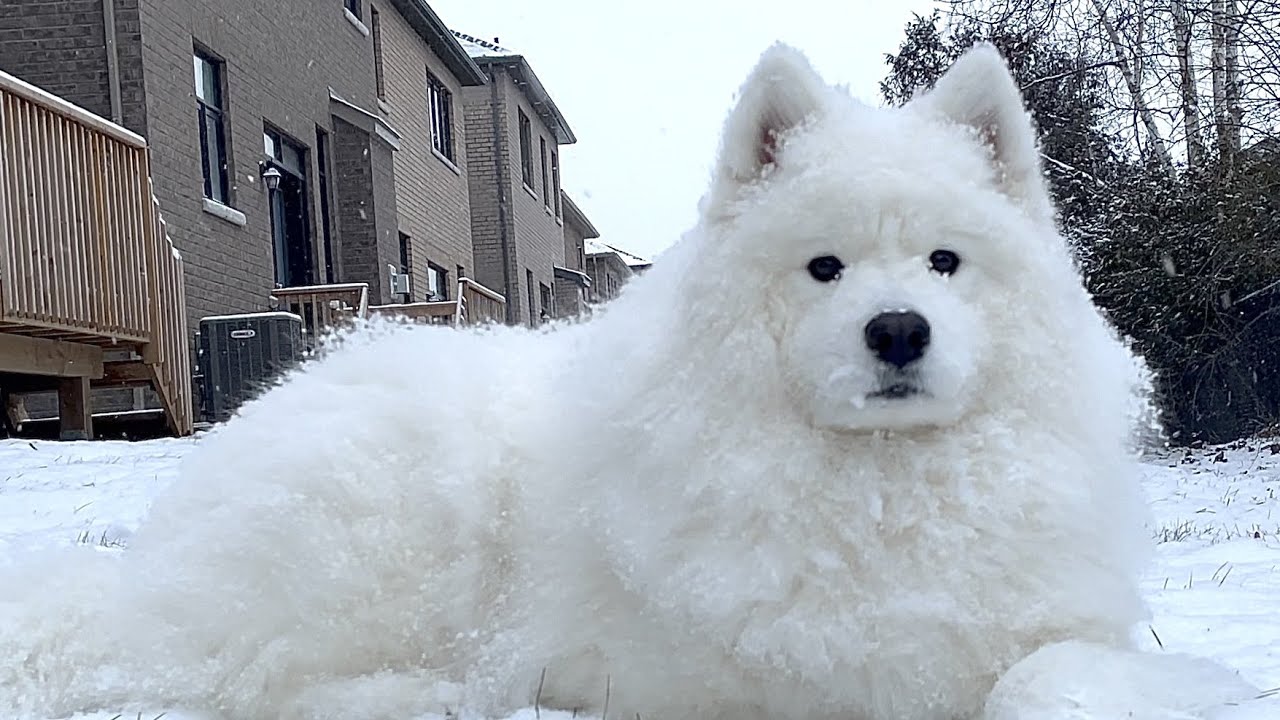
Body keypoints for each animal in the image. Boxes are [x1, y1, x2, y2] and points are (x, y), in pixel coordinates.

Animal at [0, 43, 1259, 717]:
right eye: (824, 267)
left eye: (946, 262)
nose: (897, 330)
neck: (876, 487)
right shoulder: (763, 682)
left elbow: (1043, 676)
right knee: (233, 684)